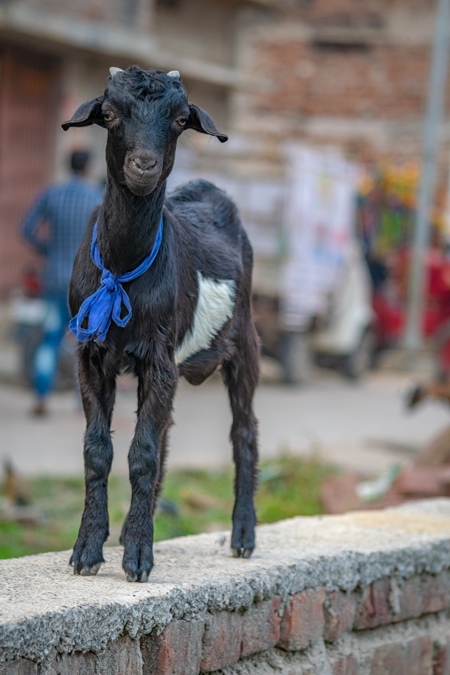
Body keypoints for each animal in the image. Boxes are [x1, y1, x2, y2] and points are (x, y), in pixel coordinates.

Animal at [63, 64, 260, 580]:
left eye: (178, 119)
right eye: (110, 114)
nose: (144, 166)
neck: (122, 268)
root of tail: (211, 190)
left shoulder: (159, 356)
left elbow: (142, 454)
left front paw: (137, 556)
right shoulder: (91, 355)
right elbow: (99, 450)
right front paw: (88, 550)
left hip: (245, 341)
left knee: (244, 431)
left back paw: (243, 535)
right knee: (166, 434)